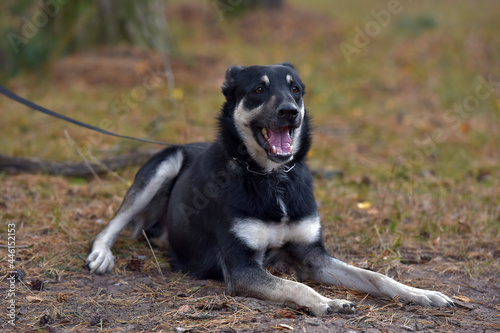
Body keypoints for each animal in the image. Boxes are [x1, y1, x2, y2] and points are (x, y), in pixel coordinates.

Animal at [86, 63, 454, 316]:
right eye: (258, 91)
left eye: (296, 90)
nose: (289, 112)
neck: (272, 178)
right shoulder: (243, 268)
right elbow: (294, 284)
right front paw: (327, 302)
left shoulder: (313, 256)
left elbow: (376, 276)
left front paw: (421, 293)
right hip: (165, 164)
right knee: (113, 223)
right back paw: (101, 254)